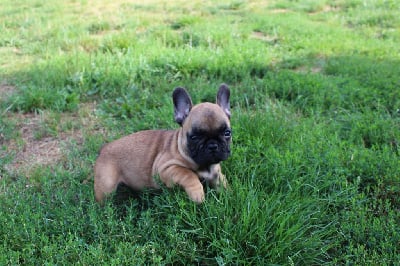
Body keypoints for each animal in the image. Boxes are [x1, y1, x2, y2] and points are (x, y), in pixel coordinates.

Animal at [94, 84, 231, 203]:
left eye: (227, 133)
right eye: (194, 137)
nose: (213, 145)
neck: (205, 166)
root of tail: (104, 148)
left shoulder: (215, 173)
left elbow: (220, 180)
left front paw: (227, 192)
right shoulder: (166, 169)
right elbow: (188, 174)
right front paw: (197, 194)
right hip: (107, 185)